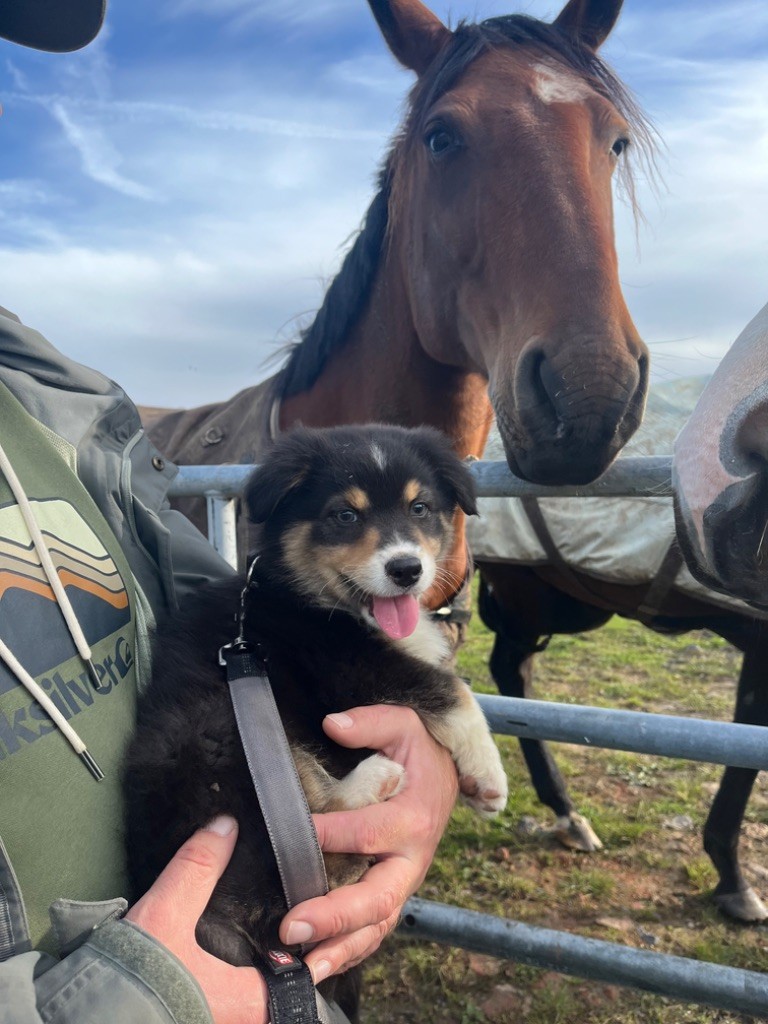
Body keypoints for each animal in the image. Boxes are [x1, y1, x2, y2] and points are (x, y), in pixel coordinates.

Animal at [124, 419, 512, 987]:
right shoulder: (351, 668)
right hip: (219, 730)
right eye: (344, 515)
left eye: (420, 508)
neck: (314, 600)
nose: (406, 569)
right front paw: (488, 780)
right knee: (322, 857)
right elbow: (453, 689)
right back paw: (378, 779)